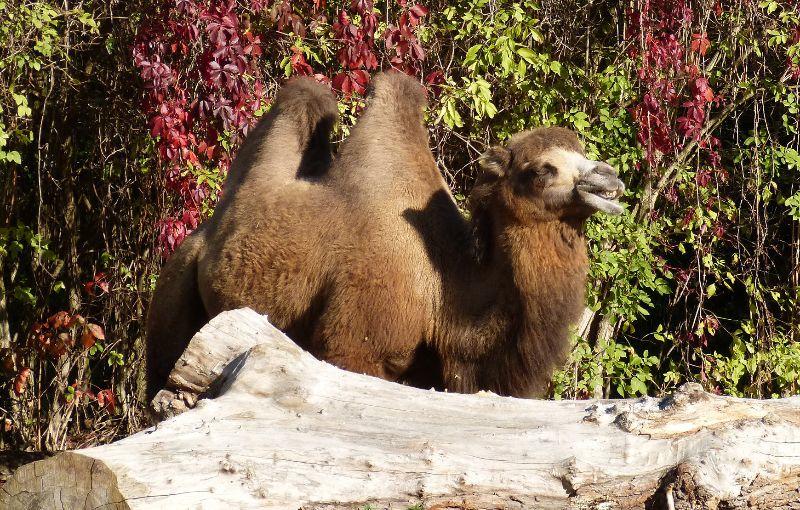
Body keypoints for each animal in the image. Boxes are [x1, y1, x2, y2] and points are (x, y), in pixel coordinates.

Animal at [147, 72, 628, 398]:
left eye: (583, 152)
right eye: (540, 170)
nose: (610, 181)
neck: (443, 292)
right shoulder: (357, 348)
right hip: (171, 299)